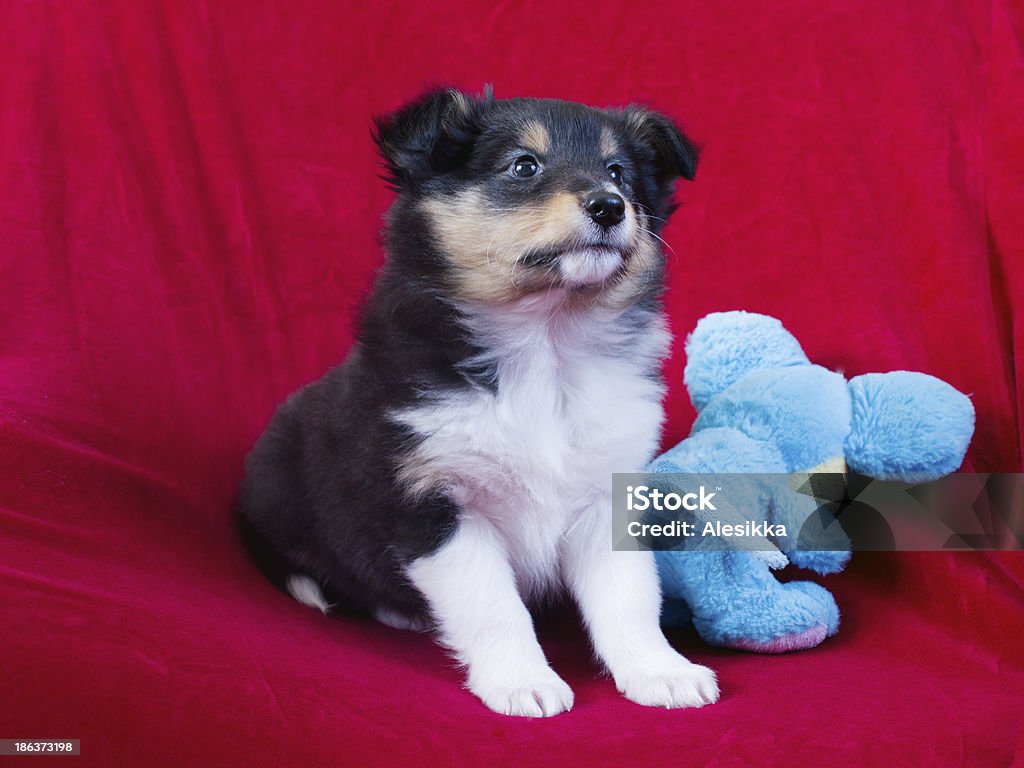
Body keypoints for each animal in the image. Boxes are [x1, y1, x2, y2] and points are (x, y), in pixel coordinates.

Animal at [239, 87, 720, 720]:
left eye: (619, 172)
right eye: (523, 166)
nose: (610, 206)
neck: (545, 344)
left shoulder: (608, 494)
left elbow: (630, 598)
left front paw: (662, 672)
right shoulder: (434, 504)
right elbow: (493, 606)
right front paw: (523, 684)